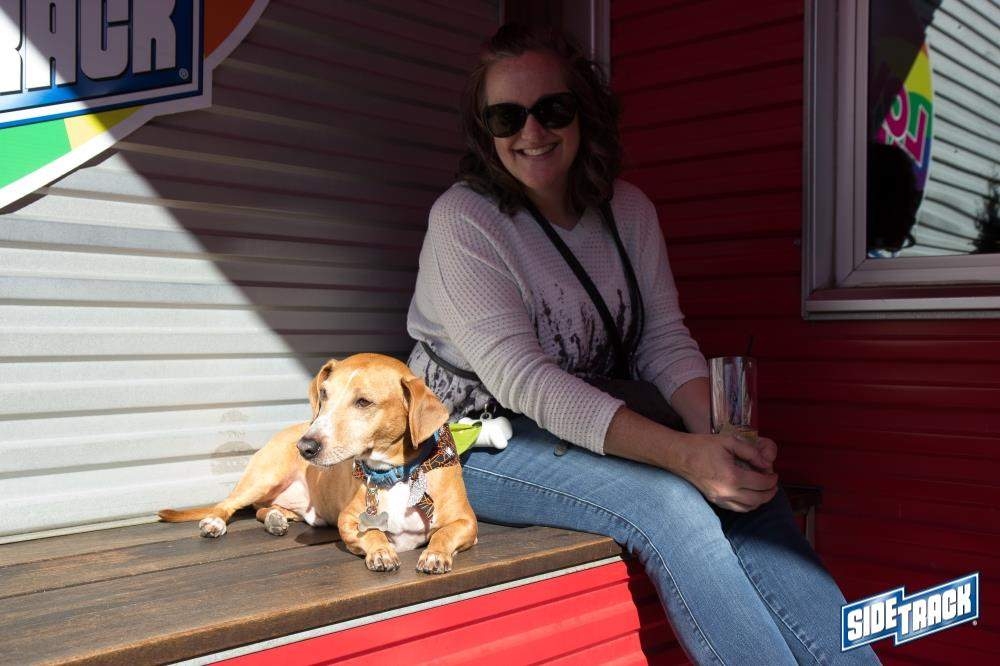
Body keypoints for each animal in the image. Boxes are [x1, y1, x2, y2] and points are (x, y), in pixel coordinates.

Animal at [159, 353, 478, 574]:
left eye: (363, 402)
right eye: (324, 394)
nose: (305, 446)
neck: (396, 474)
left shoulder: (467, 523)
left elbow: (445, 532)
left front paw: (435, 554)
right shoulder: (348, 521)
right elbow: (373, 531)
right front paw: (381, 551)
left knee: (264, 509)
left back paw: (275, 518)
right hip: (263, 476)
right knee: (227, 504)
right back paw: (215, 522)